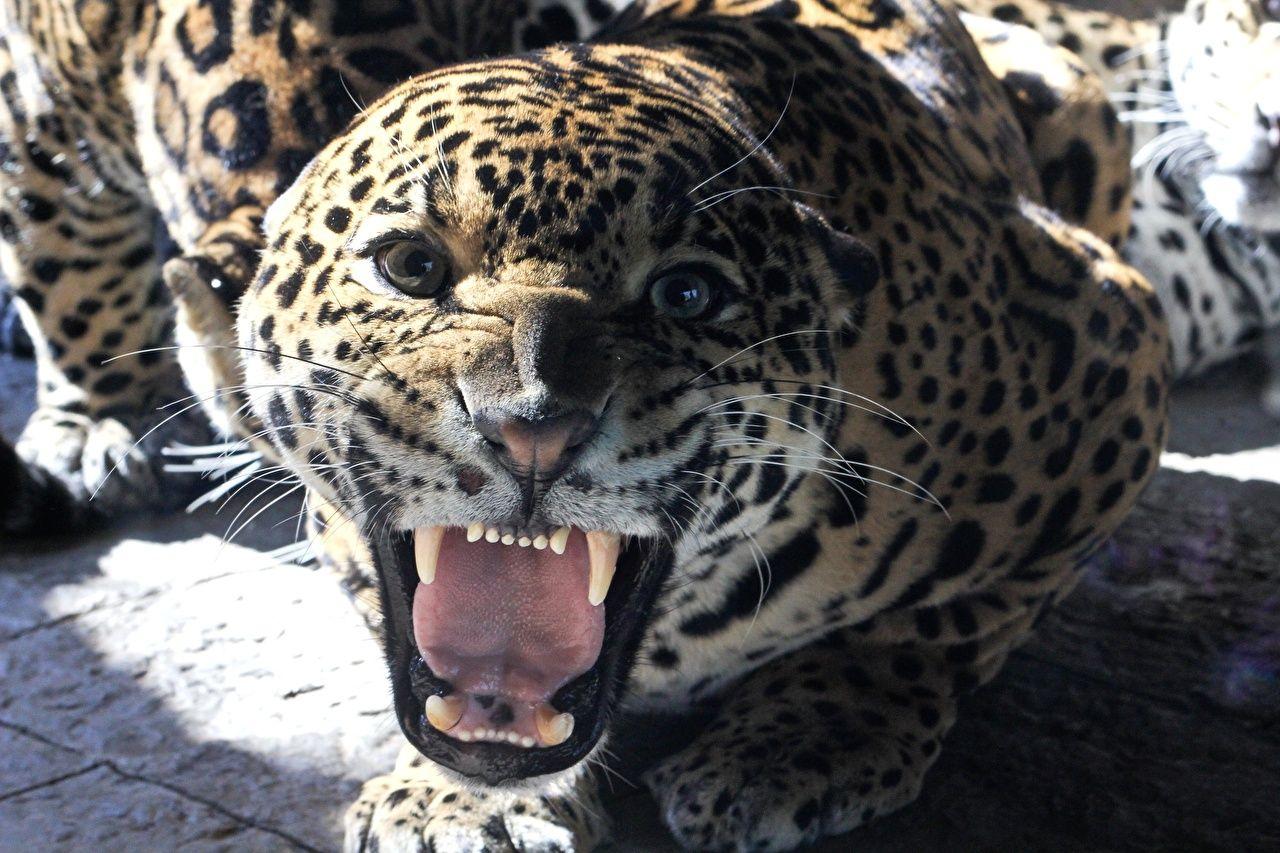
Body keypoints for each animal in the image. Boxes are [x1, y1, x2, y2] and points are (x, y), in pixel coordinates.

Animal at [231, 0, 1171, 849]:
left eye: (686, 294)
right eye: (411, 266)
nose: (532, 426)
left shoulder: (1112, 345)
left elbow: (928, 627)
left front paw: (802, 741)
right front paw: (456, 801)